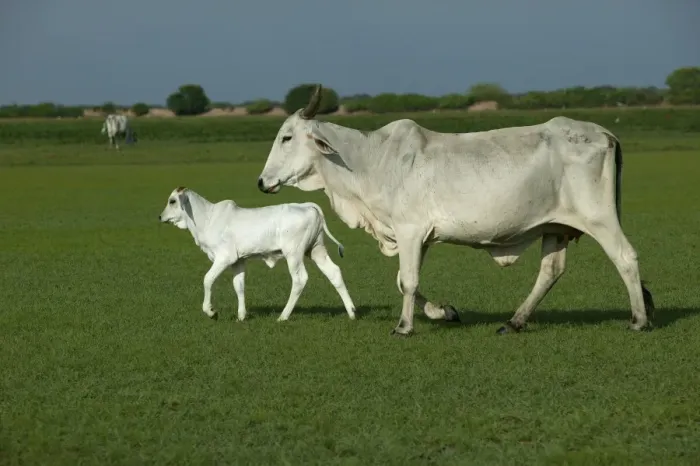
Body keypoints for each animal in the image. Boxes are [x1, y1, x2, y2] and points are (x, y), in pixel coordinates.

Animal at [158, 186, 357, 322]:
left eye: (172, 201)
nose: (160, 217)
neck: (207, 218)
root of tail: (307, 206)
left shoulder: (224, 258)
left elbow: (207, 279)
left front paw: (210, 311)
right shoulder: (238, 261)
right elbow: (239, 285)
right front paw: (241, 316)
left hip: (294, 254)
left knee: (300, 279)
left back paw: (283, 316)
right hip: (316, 250)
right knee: (334, 272)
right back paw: (352, 312)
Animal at [257, 85, 654, 336]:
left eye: (287, 137)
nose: (262, 182)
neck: (370, 159)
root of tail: (604, 133)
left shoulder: (410, 230)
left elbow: (409, 281)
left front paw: (404, 327)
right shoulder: (420, 238)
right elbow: (406, 282)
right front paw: (443, 312)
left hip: (599, 218)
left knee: (626, 257)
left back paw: (638, 319)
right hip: (556, 227)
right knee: (550, 271)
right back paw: (515, 322)